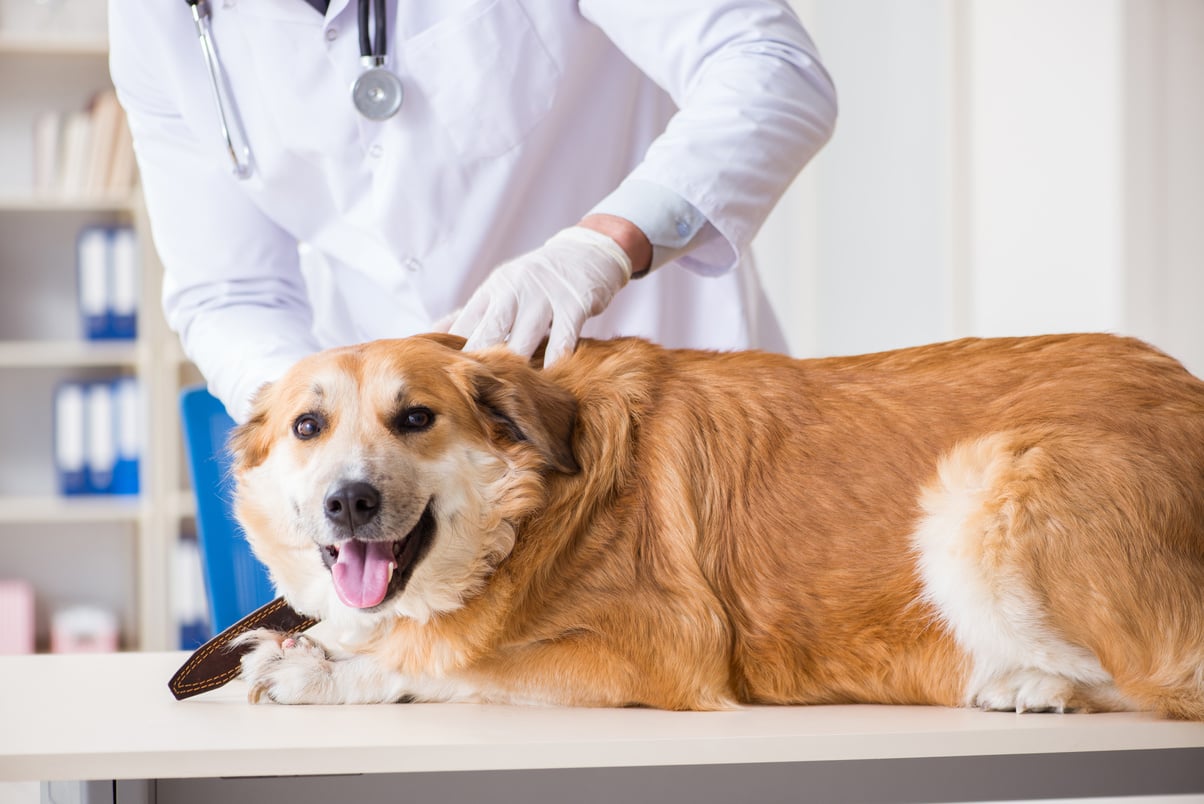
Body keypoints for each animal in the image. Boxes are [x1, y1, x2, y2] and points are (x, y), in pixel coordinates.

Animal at [232, 329, 1204, 717]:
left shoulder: (662, 648)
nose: (349, 501)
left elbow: (447, 660)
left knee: (1166, 682)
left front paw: (318, 673)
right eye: (309, 426)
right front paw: (320, 643)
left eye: (416, 417)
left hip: (982, 481)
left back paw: (1035, 683)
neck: (531, 512)